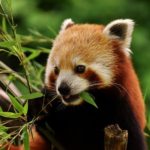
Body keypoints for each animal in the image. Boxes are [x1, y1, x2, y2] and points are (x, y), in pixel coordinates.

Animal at [2, 18, 147, 150]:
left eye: (80, 68)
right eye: (56, 70)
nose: (63, 88)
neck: (84, 107)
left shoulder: (123, 113)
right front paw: (38, 104)